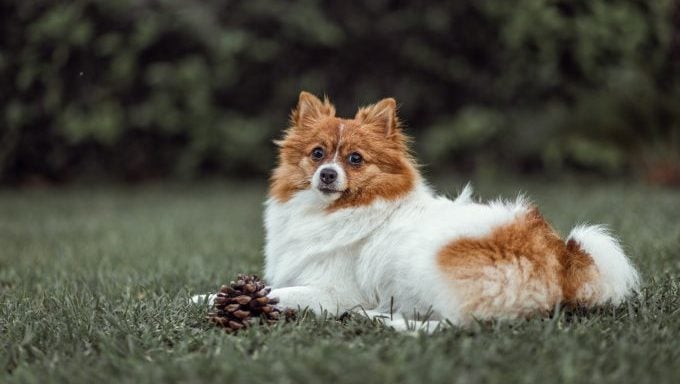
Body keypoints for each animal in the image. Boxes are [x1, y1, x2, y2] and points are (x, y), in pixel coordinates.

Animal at [195, 91, 636, 330]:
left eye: (355, 159)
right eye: (318, 154)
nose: (327, 174)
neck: (332, 210)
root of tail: (565, 258)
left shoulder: (333, 291)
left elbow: (282, 293)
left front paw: (217, 299)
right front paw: (216, 297)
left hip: (432, 261)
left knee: (455, 326)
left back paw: (380, 320)